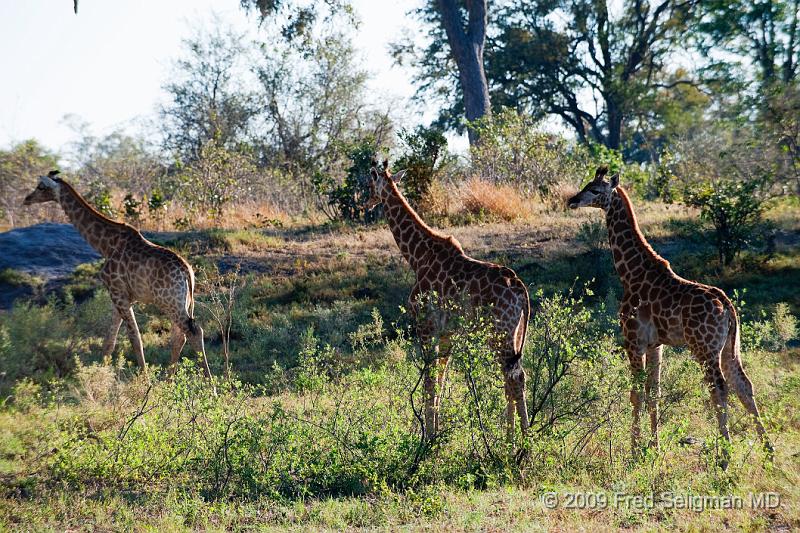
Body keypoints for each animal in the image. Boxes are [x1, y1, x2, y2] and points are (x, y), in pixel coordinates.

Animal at [23, 168, 214, 380]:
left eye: (41, 186)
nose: (26, 199)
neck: (106, 245)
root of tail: (187, 272)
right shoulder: (122, 297)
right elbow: (110, 341)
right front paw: (100, 374)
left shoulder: (118, 293)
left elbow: (134, 338)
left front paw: (144, 381)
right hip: (182, 302)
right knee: (179, 337)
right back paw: (168, 380)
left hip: (169, 302)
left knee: (193, 332)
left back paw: (209, 384)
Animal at [368, 159, 532, 440]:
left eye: (369, 184)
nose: (365, 203)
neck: (417, 257)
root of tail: (520, 290)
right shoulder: (447, 332)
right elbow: (441, 377)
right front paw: (437, 432)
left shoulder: (425, 326)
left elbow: (429, 378)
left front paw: (426, 436)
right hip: (516, 331)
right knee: (512, 377)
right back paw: (513, 437)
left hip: (499, 333)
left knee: (514, 378)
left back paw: (521, 441)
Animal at [564, 167, 772, 462]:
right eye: (585, 184)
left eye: (594, 189)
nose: (572, 200)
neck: (630, 273)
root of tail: (727, 306)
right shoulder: (656, 345)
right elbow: (655, 392)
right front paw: (654, 446)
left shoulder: (633, 340)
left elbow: (636, 394)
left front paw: (634, 449)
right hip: (730, 346)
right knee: (744, 385)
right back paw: (768, 452)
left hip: (704, 348)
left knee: (719, 388)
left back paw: (724, 456)